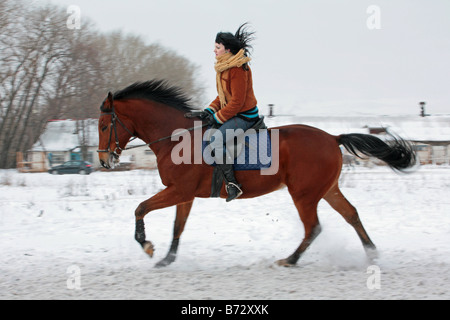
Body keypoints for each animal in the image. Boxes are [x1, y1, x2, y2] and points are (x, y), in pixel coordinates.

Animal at [96, 80, 416, 268]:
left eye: (103, 125)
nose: (104, 161)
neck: (177, 139)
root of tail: (331, 137)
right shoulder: (184, 195)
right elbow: (177, 227)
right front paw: (166, 259)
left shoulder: (179, 191)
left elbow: (140, 208)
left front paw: (147, 246)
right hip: (326, 189)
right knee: (351, 214)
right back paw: (371, 253)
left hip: (304, 194)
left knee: (313, 227)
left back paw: (290, 260)